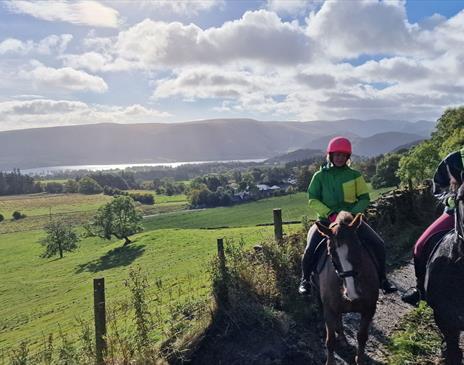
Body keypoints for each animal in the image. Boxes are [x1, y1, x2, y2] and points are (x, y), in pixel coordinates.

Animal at [314, 210, 378, 364]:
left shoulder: (369, 309)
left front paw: (359, 360)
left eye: (358, 247)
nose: (351, 292)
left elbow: (362, 337)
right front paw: (330, 361)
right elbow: (330, 340)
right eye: (331, 252)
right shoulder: (329, 309)